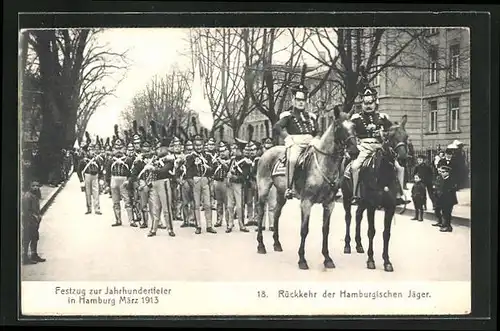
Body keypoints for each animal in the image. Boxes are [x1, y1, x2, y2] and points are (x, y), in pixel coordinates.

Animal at [256, 107, 358, 272]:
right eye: (338, 127)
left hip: (281, 193)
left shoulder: (329, 204)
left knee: (276, 213)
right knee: (260, 213)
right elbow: (304, 230)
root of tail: (267, 152)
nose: (354, 151)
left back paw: (277, 244)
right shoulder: (306, 202)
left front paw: (327, 259)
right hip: (263, 189)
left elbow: (325, 230)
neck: (324, 164)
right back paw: (261, 245)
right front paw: (302, 260)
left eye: (354, 126)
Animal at [338, 120, 408, 272]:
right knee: (348, 218)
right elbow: (371, 231)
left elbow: (386, 233)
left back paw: (359, 245)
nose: (403, 159)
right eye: (391, 137)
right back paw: (347, 245)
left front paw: (387, 261)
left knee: (358, 216)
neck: (383, 174)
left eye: (406, 136)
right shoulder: (372, 206)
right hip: (347, 198)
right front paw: (371, 260)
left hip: (362, 202)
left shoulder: (390, 207)